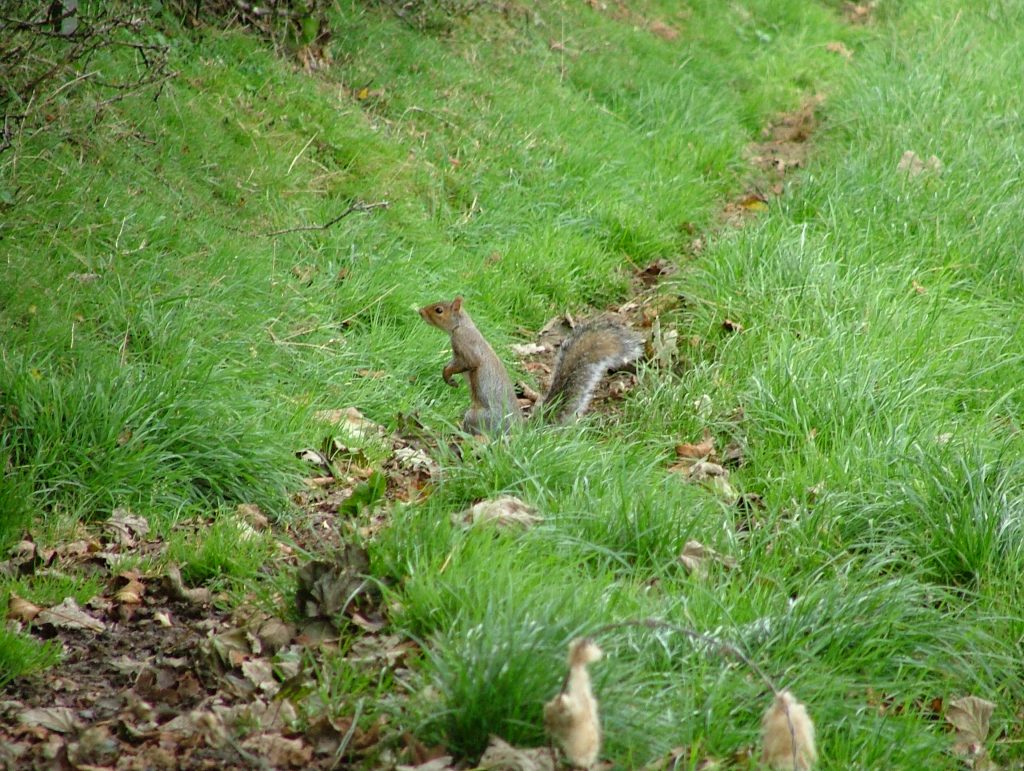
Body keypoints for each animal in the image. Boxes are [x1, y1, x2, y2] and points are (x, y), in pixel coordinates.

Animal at [415, 296, 638, 434]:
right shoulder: (456, 353)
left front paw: (449, 375)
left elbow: (468, 363)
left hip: (478, 416)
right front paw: (447, 376)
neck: (461, 326)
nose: (420, 312)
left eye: (439, 310)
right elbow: (452, 364)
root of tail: (520, 430)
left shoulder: (467, 348)